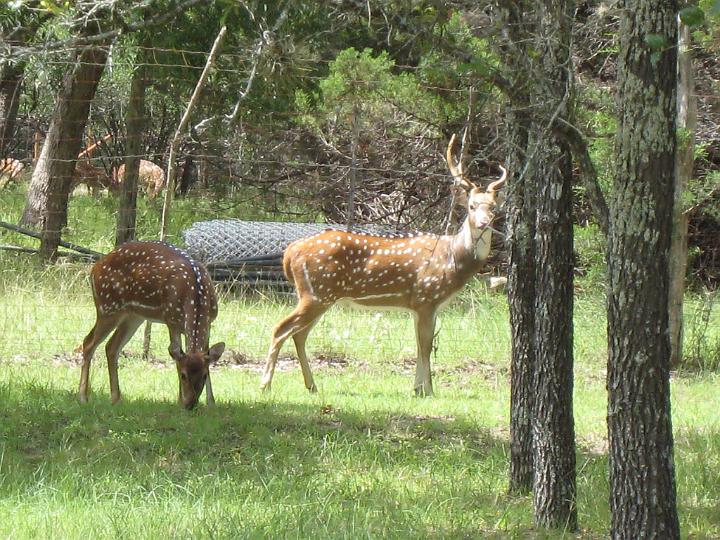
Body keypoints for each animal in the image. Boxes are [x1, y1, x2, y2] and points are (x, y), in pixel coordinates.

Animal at [79, 242, 226, 410]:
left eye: (204, 374)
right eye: (182, 375)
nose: (190, 404)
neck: (196, 295)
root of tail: (94, 267)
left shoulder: (209, 323)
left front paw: (211, 403)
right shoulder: (171, 320)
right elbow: (175, 351)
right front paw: (179, 400)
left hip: (133, 316)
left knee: (111, 347)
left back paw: (116, 399)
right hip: (108, 307)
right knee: (88, 342)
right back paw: (83, 397)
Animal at [260, 135, 506, 396]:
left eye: (493, 207)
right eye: (471, 206)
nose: (483, 223)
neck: (453, 259)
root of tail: (290, 253)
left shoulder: (421, 306)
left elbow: (419, 344)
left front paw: (417, 388)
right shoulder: (426, 298)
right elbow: (426, 345)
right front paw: (427, 390)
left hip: (318, 295)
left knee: (299, 334)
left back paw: (312, 385)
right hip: (316, 293)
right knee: (281, 329)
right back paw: (266, 384)